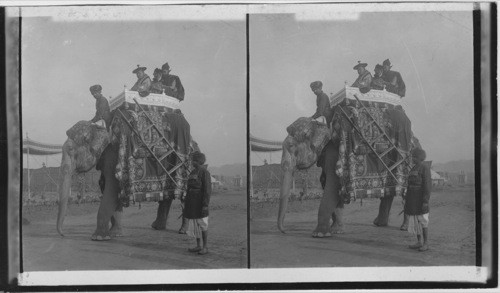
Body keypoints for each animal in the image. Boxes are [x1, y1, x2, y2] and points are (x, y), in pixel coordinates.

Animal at [278, 115, 410, 236]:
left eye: (291, 147)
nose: (285, 231)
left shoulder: (334, 154)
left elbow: (332, 188)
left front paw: (319, 234)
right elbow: (333, 189)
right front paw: (336, 231)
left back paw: (404, 227)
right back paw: (379, 224)